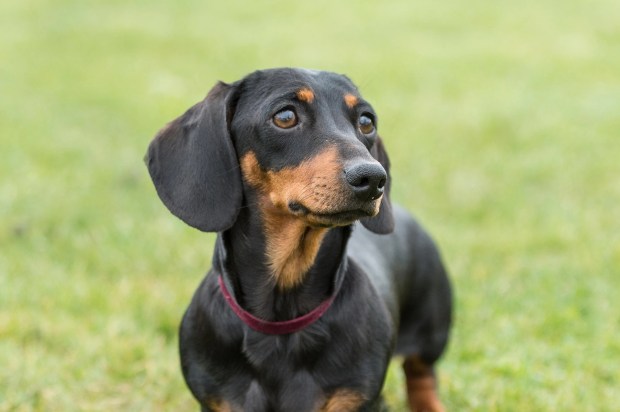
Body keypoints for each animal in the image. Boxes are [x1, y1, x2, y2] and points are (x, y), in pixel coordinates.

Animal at [147, 69, 452, 410]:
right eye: (285, 116)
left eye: (366, 121)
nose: (373, 179)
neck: (281, 322)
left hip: (431, 333)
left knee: (421, 375)